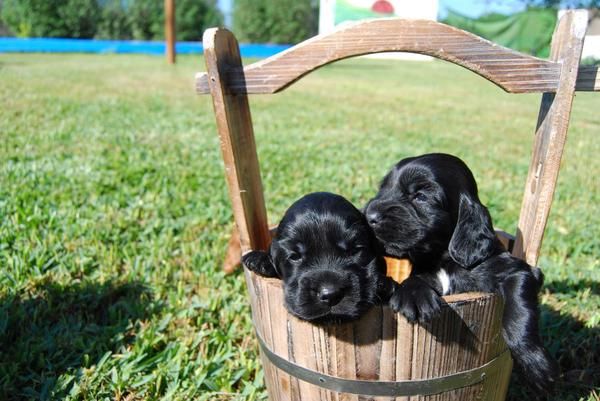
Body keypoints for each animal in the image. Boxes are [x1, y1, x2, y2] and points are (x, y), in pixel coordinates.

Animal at [366, 152, 556, 390]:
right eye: (383, 188)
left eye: (420, 196)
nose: (368, 216)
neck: (442, 259)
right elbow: (413, 281)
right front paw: (415, 298)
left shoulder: (516, 271)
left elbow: (519, 313)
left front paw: (537, 365)